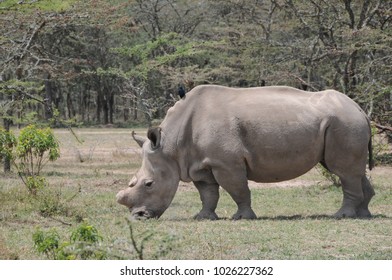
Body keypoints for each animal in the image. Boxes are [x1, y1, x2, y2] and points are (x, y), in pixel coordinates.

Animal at [115, 84, 374, 220]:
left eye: (149, 184)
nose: (138, 216)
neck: (171, 146)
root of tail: (360, 108)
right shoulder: (200, 163)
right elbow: (208, 193)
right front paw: (203, 217)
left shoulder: (226, 163)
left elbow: (237, 190)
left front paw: (242, 218)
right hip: (343, 122)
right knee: (352, 171)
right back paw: (364, 215)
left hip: (344, 122)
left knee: (343, 171)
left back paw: (342, 216)